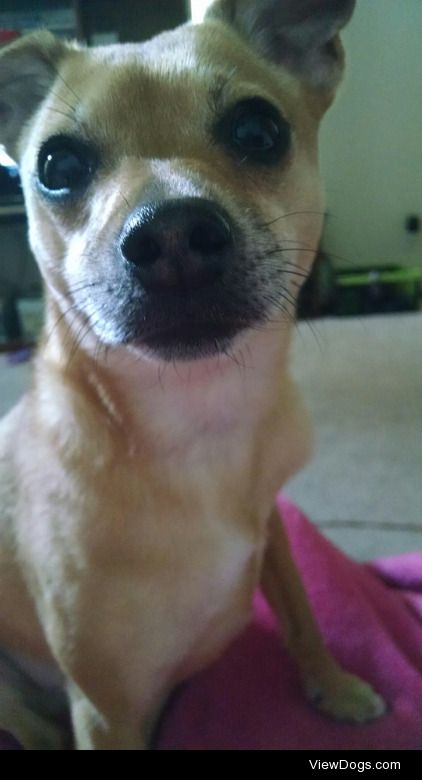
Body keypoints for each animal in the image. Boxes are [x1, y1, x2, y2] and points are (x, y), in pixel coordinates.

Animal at [0, 0, 385, 749]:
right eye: (57, 165)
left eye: (259, 130)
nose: (171, 233)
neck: (198, 419)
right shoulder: (106, 712)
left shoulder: (272, 529)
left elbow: (300, 612)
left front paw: (334, 685)